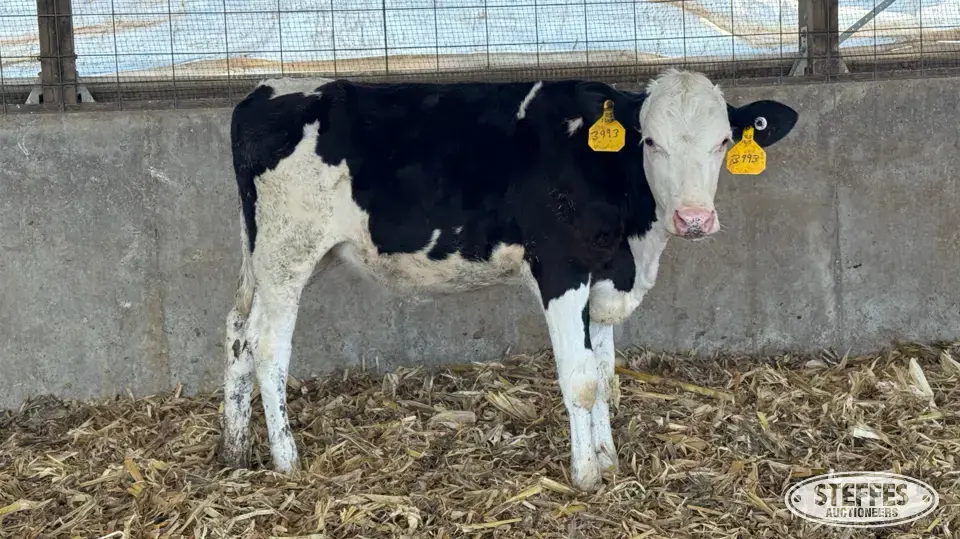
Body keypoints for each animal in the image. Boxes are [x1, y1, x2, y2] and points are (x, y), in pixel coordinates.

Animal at [218, 68, 799, 491]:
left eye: (723, 141)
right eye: (651, 142)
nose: (694, 219)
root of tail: (267, 91)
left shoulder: (605, 277)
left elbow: (605, 373)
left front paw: (608, 459)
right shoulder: (561, 270)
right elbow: (581, 379)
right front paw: (586, 476)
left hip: (267, 257)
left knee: (238, 332)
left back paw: (234, 449)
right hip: (288, 254)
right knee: (268, 345)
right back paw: (286, 459)